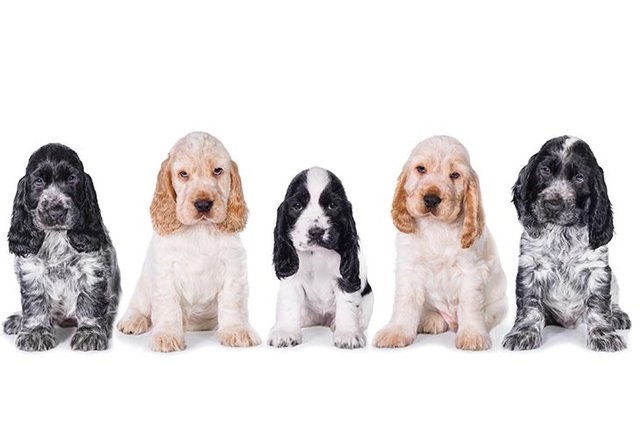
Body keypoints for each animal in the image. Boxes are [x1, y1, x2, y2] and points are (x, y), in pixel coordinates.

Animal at [2, 144, 119, 352]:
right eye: (39, 181)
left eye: (72, 178)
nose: (56, 211)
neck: (56, 236)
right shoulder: (30, 271)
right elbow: (35, 302)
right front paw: (35, 333)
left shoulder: (92, 268)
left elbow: (89, 301)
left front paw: (90, 333)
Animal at [117, 132, 260, 352]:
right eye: (183, 174)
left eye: (218, 171)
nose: (203, 204)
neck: (199, 231)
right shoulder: (165, 270)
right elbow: (168, 305)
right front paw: (167, 335)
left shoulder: (233, 268)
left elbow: (232, 303)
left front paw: (236, 331)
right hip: (144, 284)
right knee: (139, 305)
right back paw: (133, 321)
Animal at [266, 166, 372, 350]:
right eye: (297, 205)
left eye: (332, 205)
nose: (316, 232)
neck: (316, 253)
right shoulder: (292, 280)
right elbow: (289, 304)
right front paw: (285, 332)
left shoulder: (345, 278)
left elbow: (347, 303)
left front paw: (348, 334)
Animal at [372, 136, 508, 352]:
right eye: (421, 169)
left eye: (455, 174)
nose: (431, 199)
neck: (436, 228)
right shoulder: (409, 267)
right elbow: (405, 301)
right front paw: (396, 332)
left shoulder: (471, 271)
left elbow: (469, 304)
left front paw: (472, 336)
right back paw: (430, 320)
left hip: (499, 304)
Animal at [502, 136, 632, 352]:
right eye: (545, 170)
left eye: (579, 177)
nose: (553, 205)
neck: (562, 232)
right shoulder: (530, 267)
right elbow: (530, 304)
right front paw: (524, 333)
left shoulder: (597, 269)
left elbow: (598, 304)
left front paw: (604, 335)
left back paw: (618, 315)